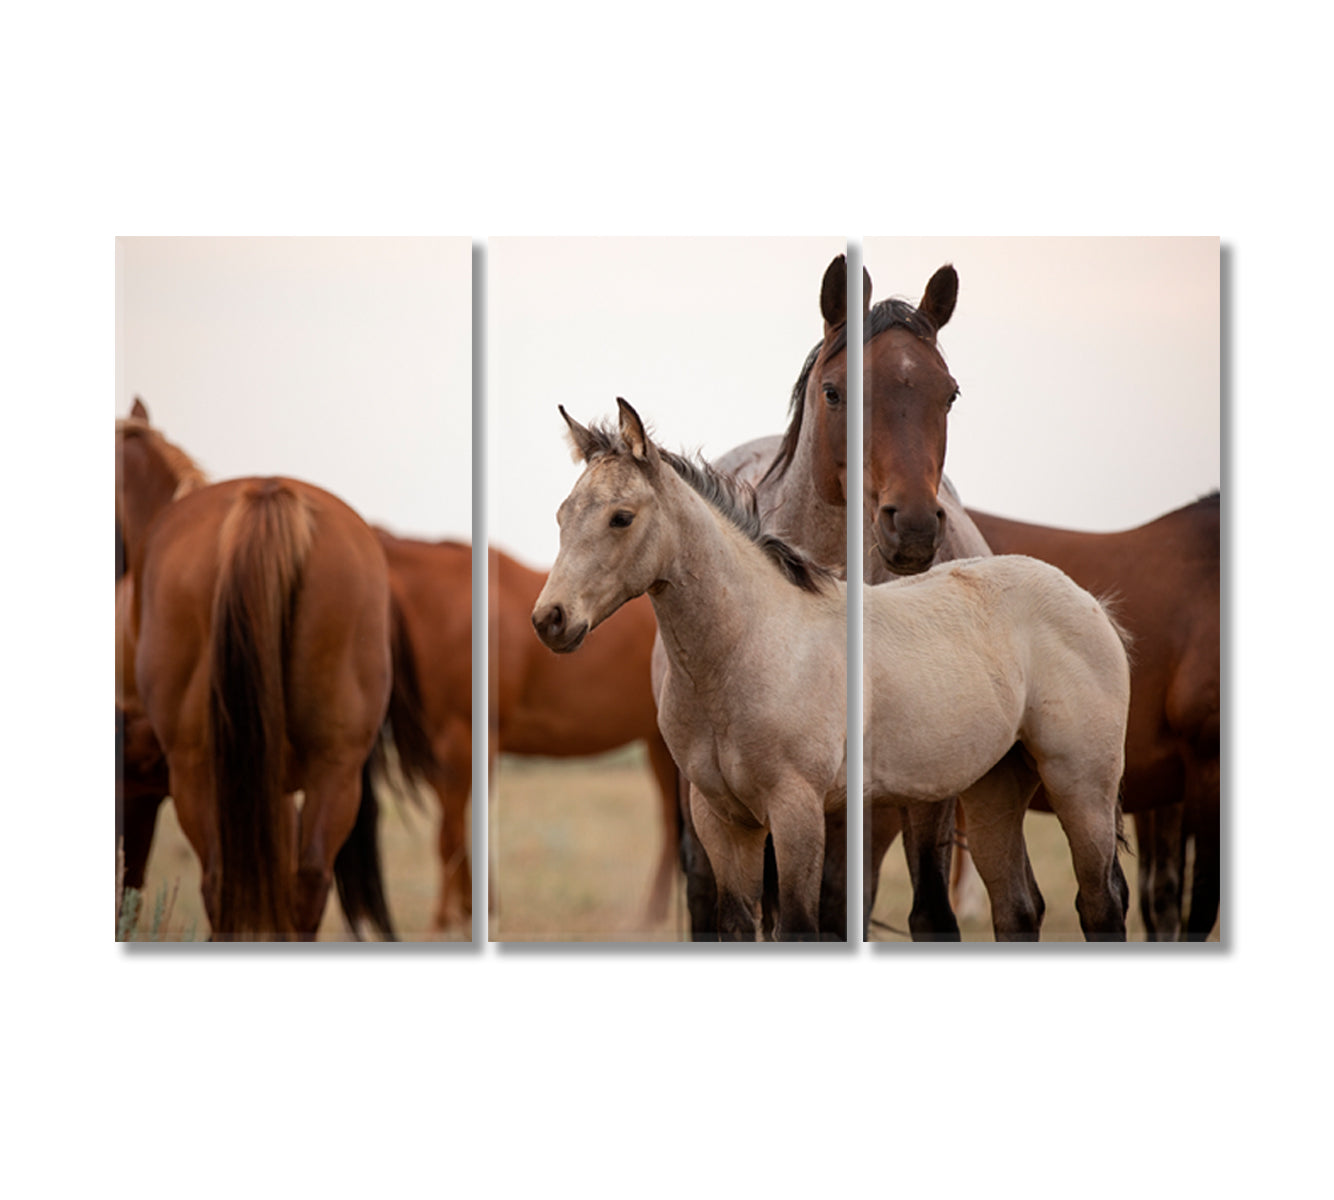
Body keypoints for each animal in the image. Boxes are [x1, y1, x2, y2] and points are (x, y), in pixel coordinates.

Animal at [116, 402, 394, 938]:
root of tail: (267, 495)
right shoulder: (276, 790)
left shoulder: (138, 793)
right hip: (335, 765)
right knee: (307, 882)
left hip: (197, 772)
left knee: (220, 884)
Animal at [381, 536, 683, 938]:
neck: (444, 607)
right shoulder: (441, 750)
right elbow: (458, 830)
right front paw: (471, 909)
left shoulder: (464, 740)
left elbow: (449, 836)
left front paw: (445, 921)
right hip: (657, 743)